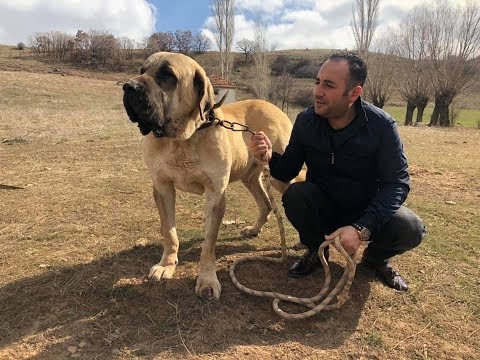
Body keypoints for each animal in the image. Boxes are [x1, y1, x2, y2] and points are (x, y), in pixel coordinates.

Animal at [123, 52, 296, 300]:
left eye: (167, 74)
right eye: (142, 70)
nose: (128, 87)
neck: (183, 138)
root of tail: (273, 106)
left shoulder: (215, 193)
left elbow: (208, 243)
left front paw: (206, 280)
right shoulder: (162, 187)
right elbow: (169, 231)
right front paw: (167, 264)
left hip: (281, 178)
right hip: (250, 177)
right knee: (265, 203)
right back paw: (254, 229)